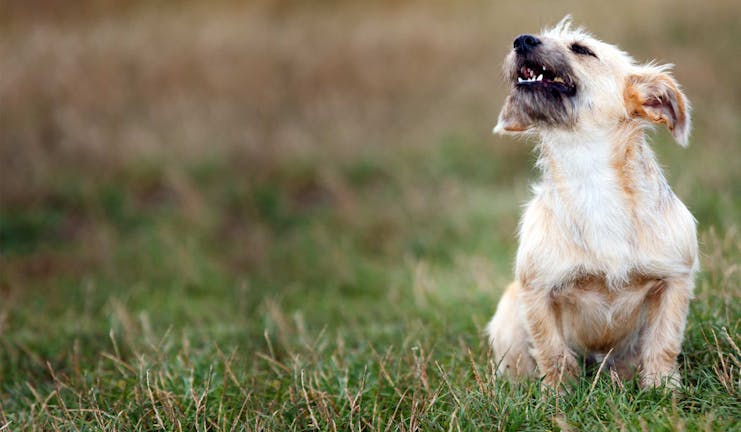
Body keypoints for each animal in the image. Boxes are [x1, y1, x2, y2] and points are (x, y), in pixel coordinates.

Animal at [488, 16, 696, 390]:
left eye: (582, 49)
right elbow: (552, 352)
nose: (521, 40)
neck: (589, 173)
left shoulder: (675, 279)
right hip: (507, 316)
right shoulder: (536, 291)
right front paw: (557, 395)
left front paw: (662, 389)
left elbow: (664, 342)